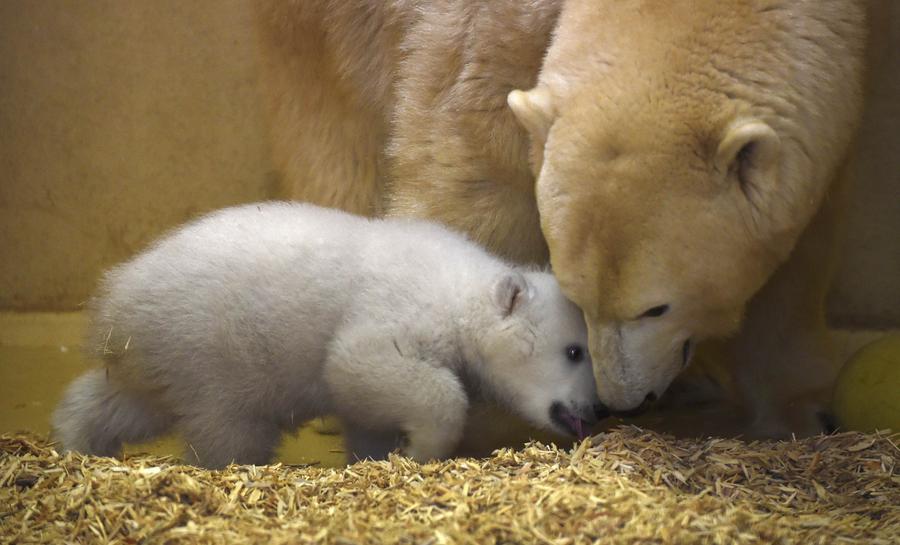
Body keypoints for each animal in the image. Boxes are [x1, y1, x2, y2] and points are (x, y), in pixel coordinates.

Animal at [256, 0, 884, 434]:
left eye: (656, 308)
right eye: (577, 297)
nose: (622, 400)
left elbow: (798, 253)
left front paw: (800, 412)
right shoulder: (490, 40)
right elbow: (471, 178)